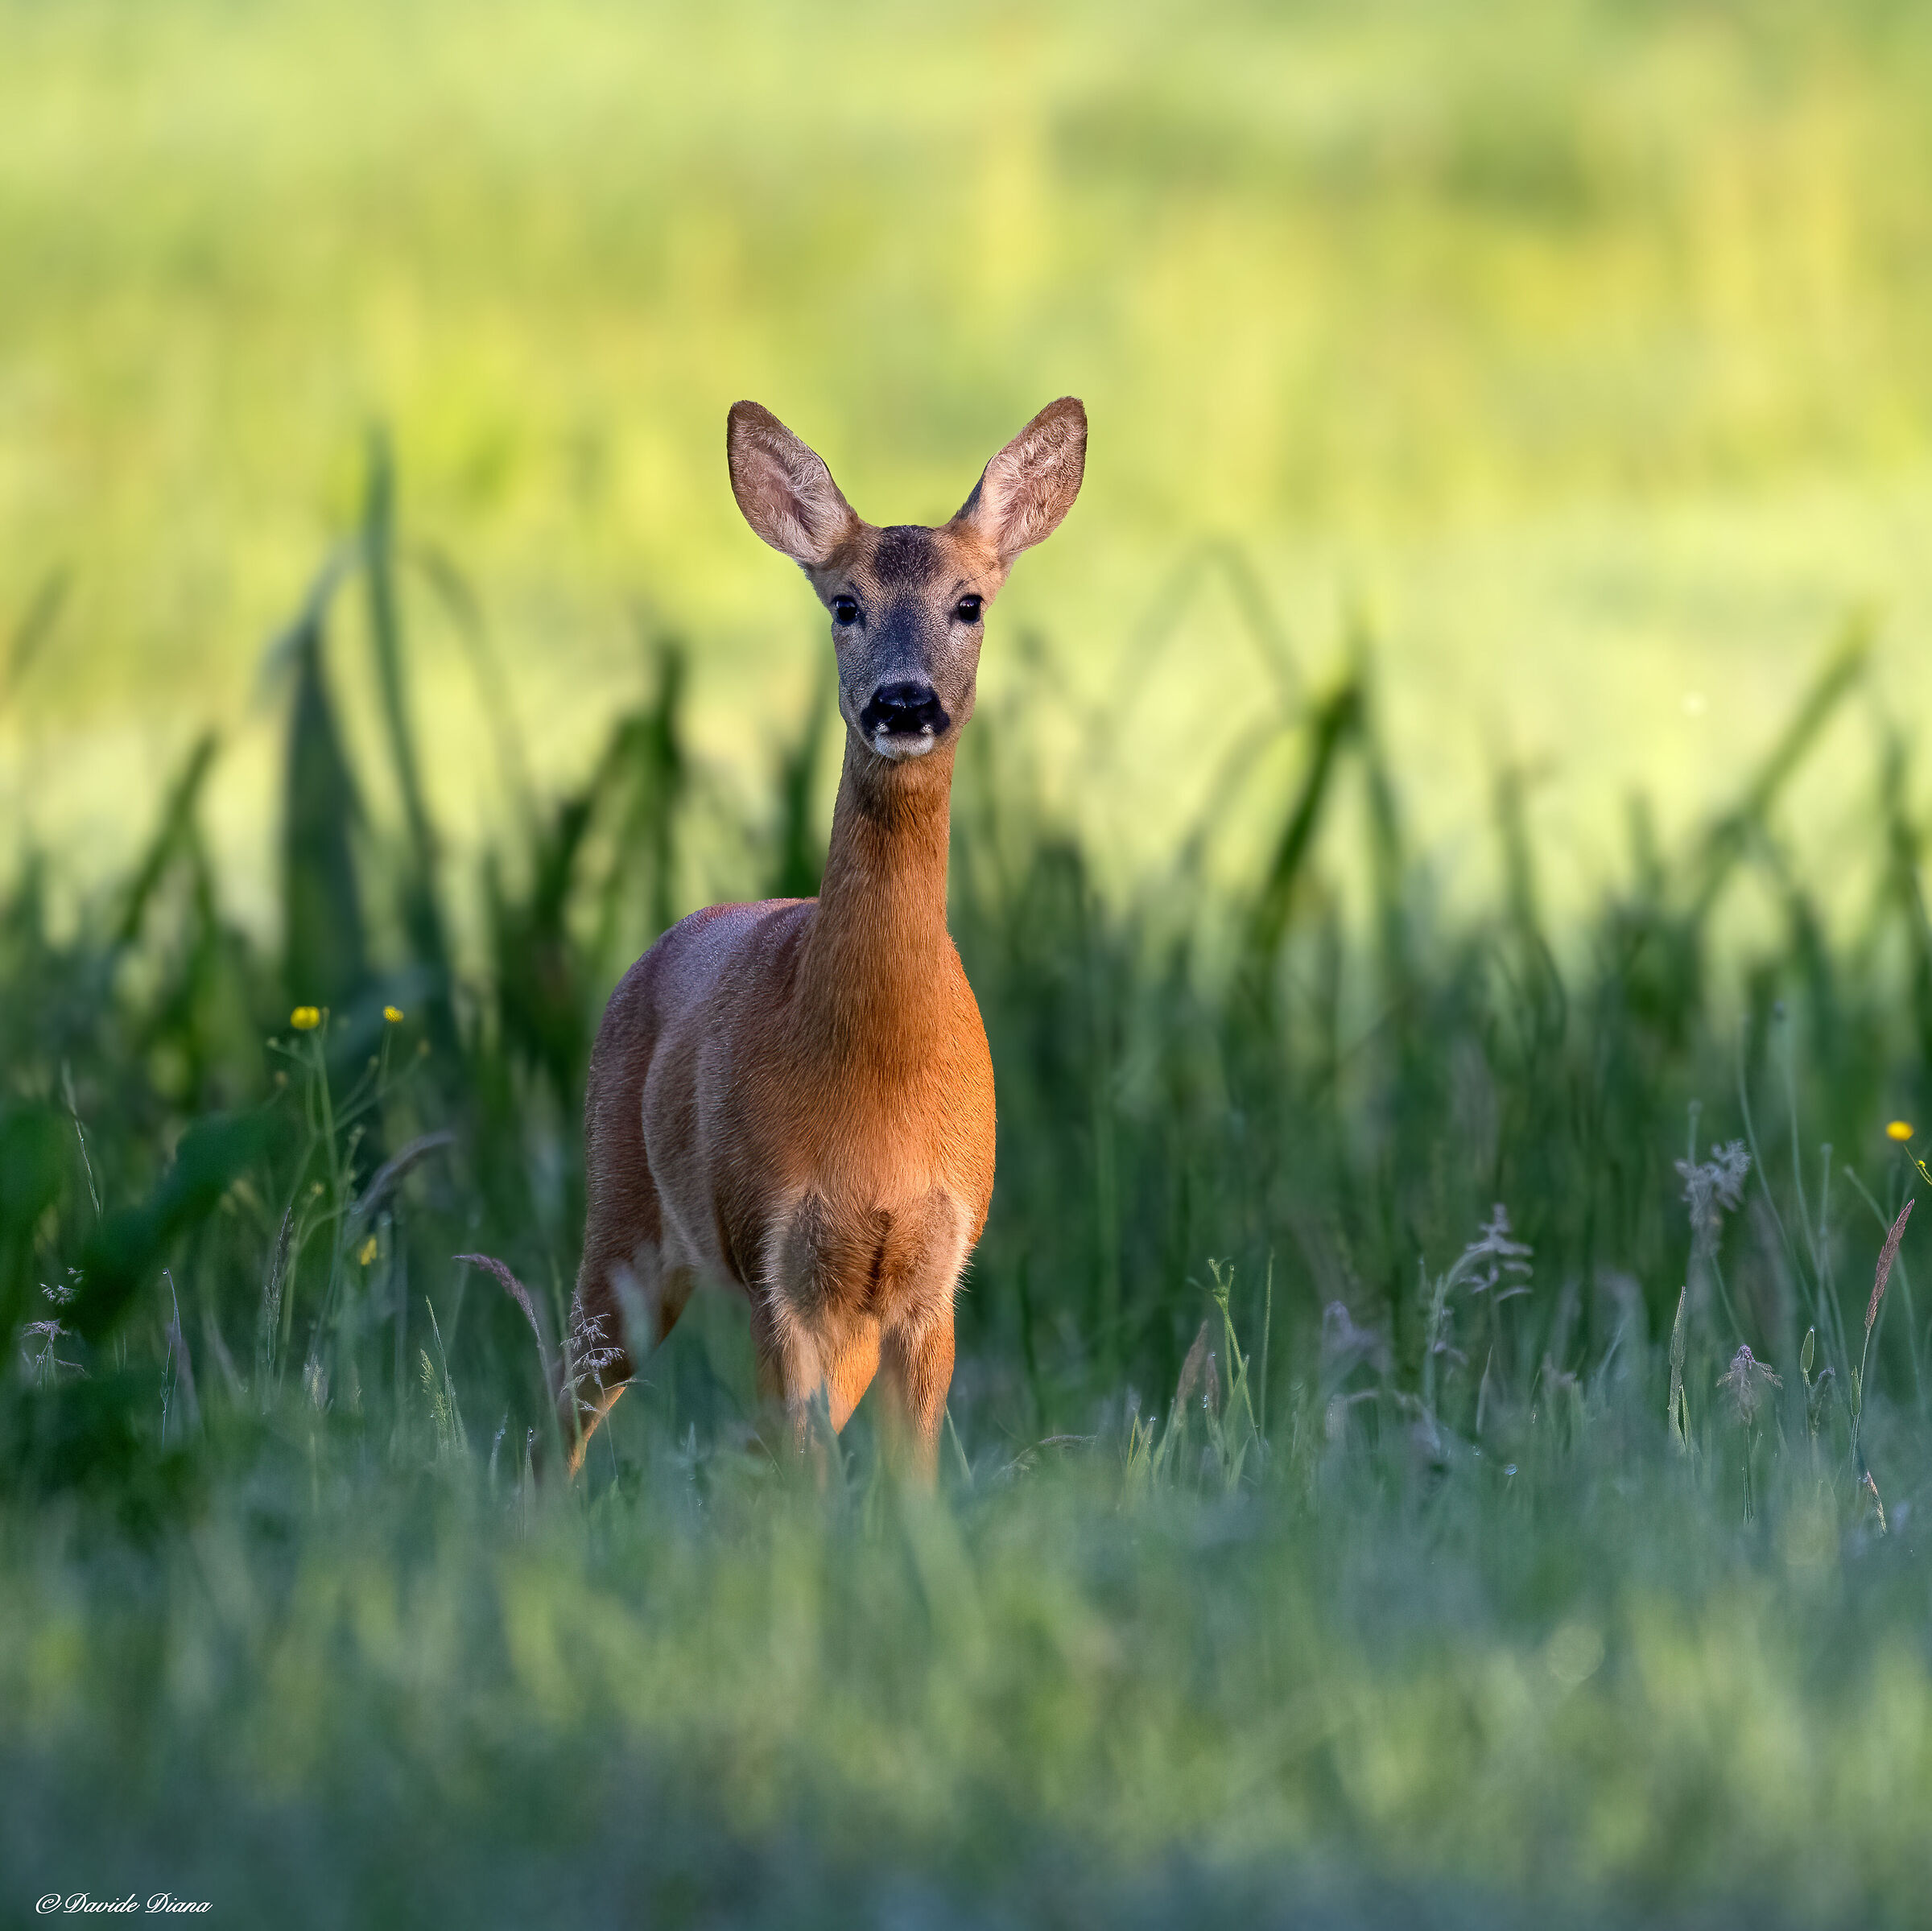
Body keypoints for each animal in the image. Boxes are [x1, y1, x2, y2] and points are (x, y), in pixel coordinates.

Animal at [556, 395, 1087, 1478]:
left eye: (970, 602)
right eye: (844, 604)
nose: (904, 702)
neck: (877, 1084)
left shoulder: (935, 1269)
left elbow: (906, 1481)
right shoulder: (772, 1254)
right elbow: (802, 1479)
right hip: (623, 1211)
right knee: (570, 1395)